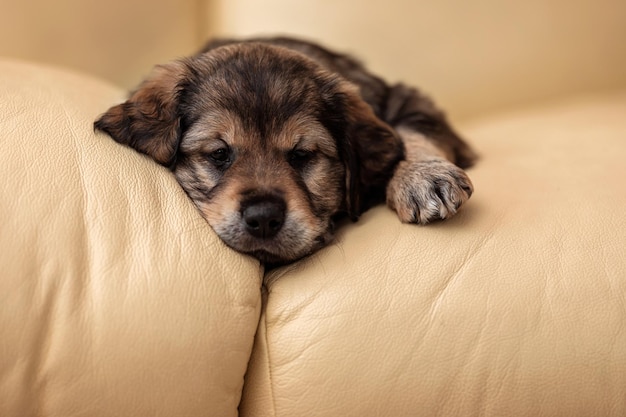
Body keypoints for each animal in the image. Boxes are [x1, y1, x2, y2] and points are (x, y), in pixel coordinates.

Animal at [95, 36, 472, 264]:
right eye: (219, 153)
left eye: (302, 155)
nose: (263, 218)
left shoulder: (406, 99)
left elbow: (411, 132)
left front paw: (423, 177)